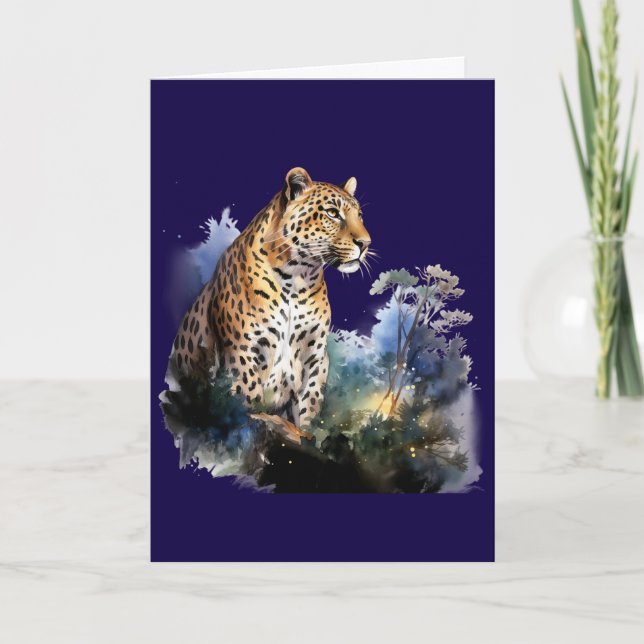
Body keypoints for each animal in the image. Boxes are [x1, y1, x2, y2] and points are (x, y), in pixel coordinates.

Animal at [166, 167, 371, 442]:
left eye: (359, 215)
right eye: (332, 213)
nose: (366, 243)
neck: (298, 278)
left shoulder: (315, 355)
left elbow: (309, 404)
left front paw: (309, 435)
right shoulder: (242, 349)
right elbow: (249, 394)